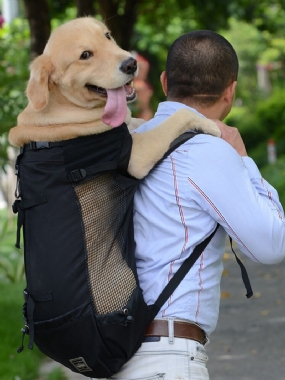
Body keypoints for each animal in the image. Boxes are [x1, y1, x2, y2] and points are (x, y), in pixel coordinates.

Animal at [7, 15, 219, 179]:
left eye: (107, 36)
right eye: (85, 55)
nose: (131, 64)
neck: (69, 105)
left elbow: (140, 120)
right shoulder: (136, 156)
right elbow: (182, 114)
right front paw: (211, 125)